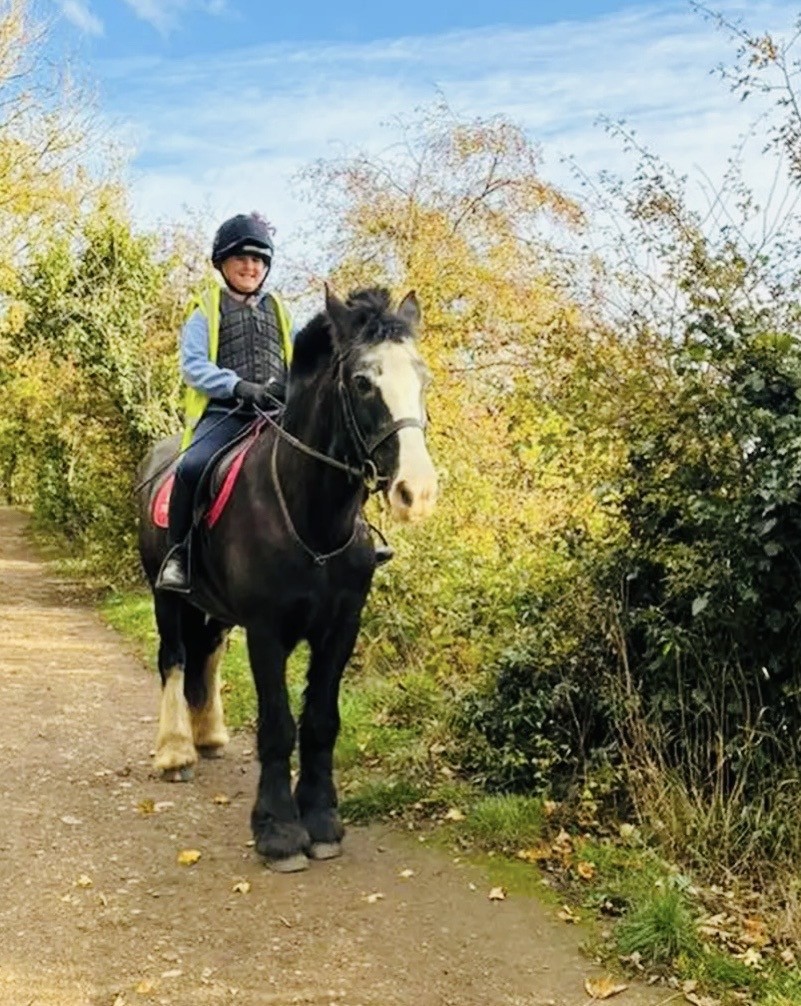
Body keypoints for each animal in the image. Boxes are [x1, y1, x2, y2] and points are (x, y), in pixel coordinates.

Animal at [137, 286, 438, 871]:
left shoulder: (342, 627)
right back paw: (176, 751)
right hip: (167, 596)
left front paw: (320, 821)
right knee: (175, 660)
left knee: (207, 656)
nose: (417, 492)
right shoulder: (266, 630)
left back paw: (209, 736)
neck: (311, 518)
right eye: (362, 382)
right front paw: (277, 831)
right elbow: (278, 726)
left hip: (215, 610)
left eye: (422, 377)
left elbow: (320, 721)